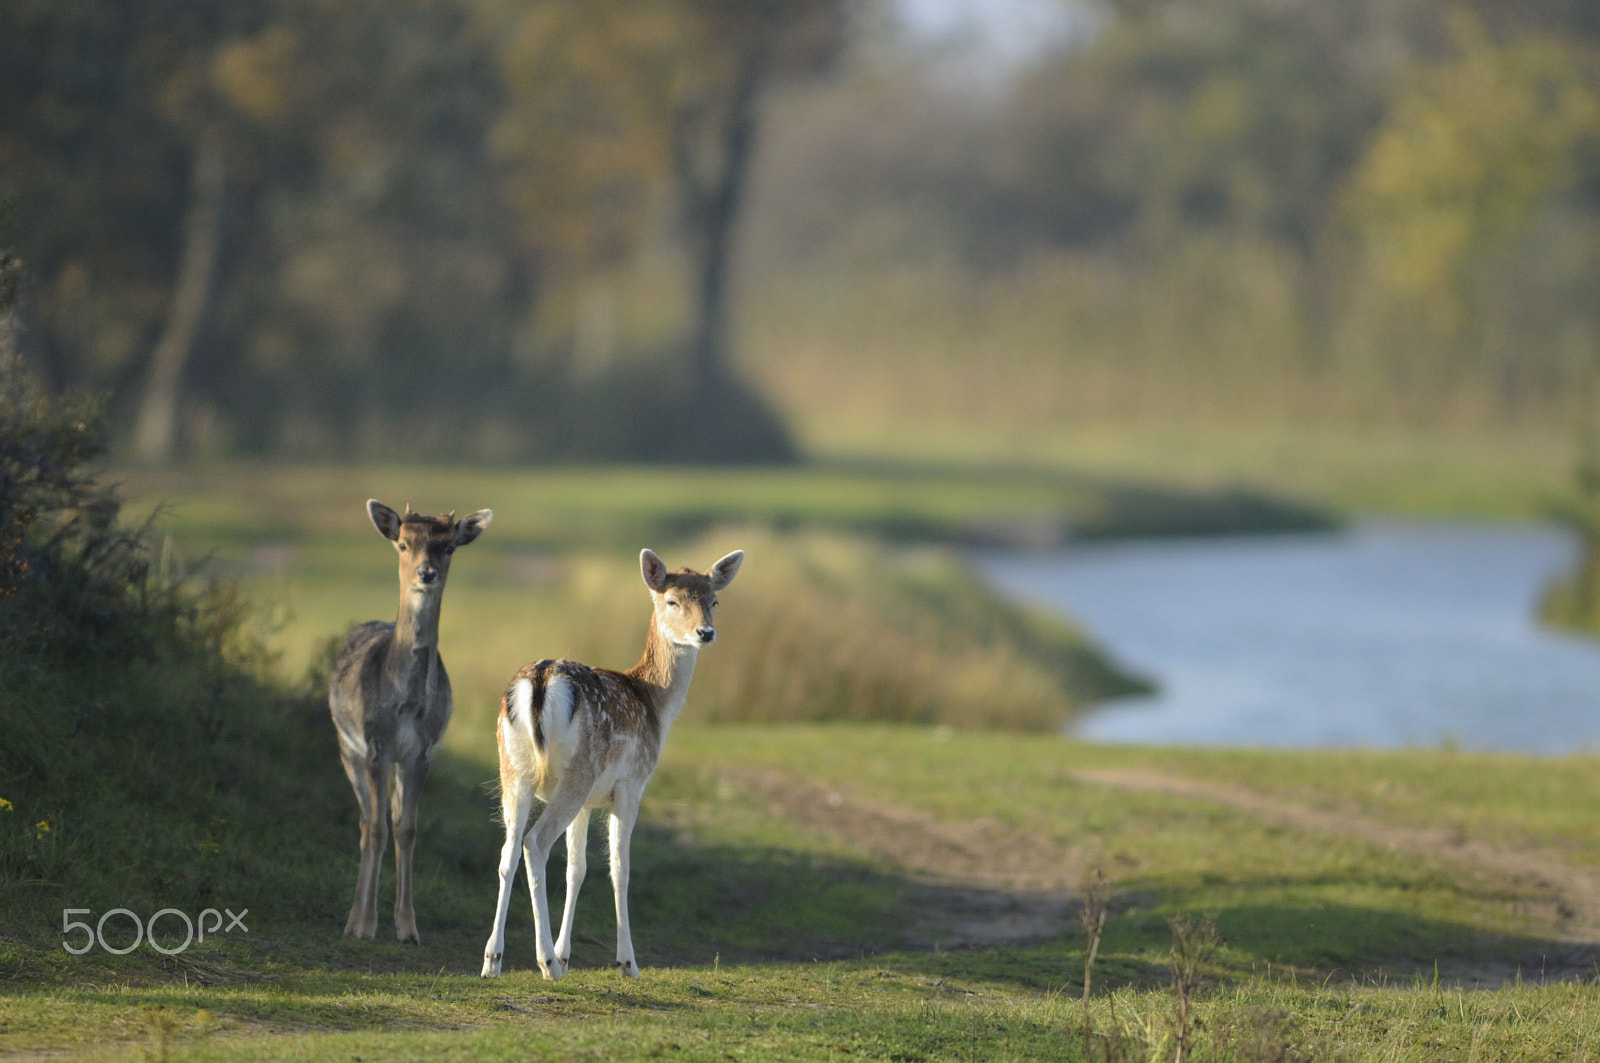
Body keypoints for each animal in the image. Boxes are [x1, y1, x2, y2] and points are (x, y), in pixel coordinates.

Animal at [328, 499, 489, 941]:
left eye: (448, 546)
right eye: (403, 543)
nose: (426, 573)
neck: (407, 705)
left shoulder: (422, 752)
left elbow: (408, 829)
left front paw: (408, 927)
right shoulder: (375, 745)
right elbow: (379, 829)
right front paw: (366, 925)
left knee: (388, 820)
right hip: (346, 748)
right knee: (366, 823)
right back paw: (351, 920)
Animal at [476, 547, 745, 979]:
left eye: (714, 601)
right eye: (673, 601)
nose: (705, 633)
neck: (653, 704)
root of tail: (539, 682)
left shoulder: (589, 803)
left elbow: (577, 869)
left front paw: (567, 954)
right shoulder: (631, 784)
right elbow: (620, 868)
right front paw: (627, 962)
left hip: (512, 770)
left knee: (508, 850)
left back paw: (493, 961)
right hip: (576, 773)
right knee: (535, 843)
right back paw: (545, 962)